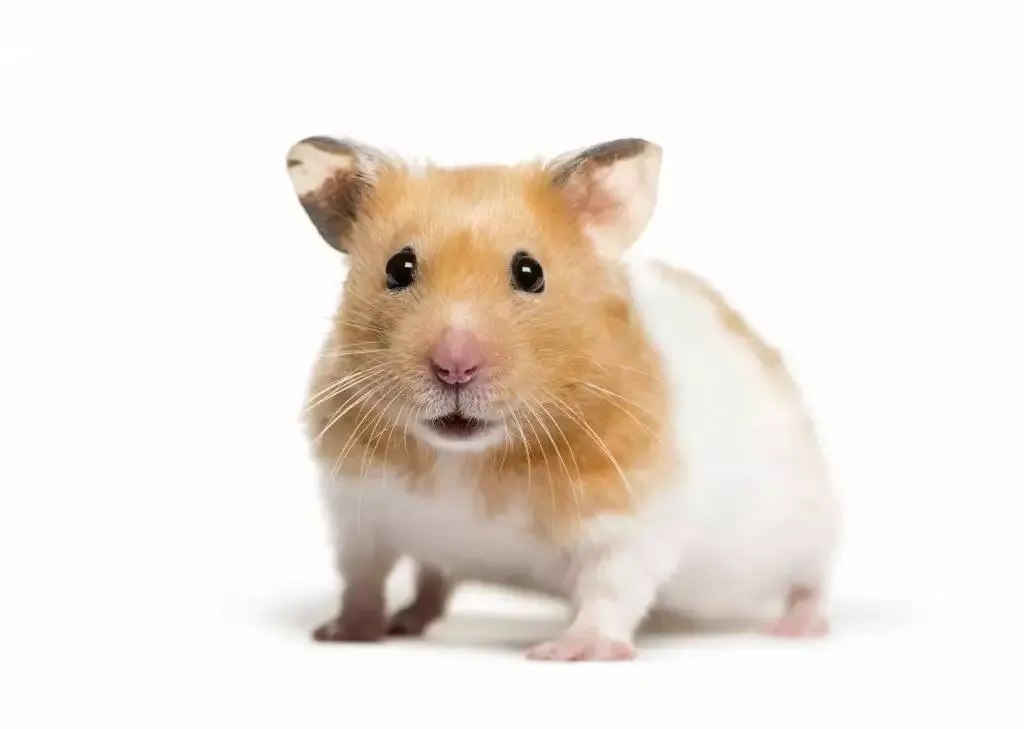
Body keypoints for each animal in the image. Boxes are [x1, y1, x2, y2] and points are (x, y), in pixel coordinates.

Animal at [285, 136, 839, 660]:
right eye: (399, 268)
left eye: (530, 273)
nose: (454, 366)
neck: (465, 459)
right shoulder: (357, 511)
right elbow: (363, 578)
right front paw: (341, 634)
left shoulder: (630, 520)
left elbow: (611, 589)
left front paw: (567, 652)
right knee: (432, 580)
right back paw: (406, 621)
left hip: (806, 526)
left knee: (811, 581)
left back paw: (797, 628)